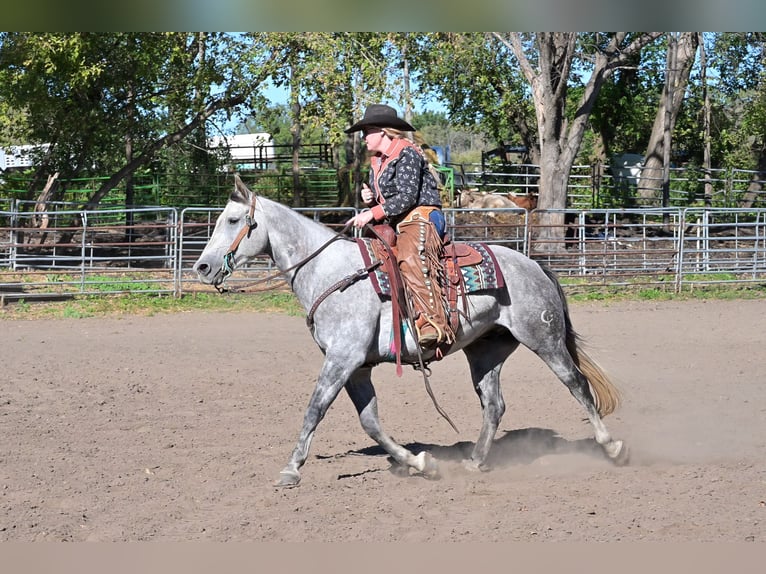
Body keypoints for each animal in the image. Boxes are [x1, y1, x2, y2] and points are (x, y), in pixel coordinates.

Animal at [193, 175, 629, 487]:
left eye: (233, 220)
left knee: (577, 385)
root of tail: (535, 264)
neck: (330, 272)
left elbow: (315, 409)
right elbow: (370, 422)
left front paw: (291, 469)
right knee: (494, 404)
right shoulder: (357, 367)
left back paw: (613, 448)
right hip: (486, 350)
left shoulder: (342, 358)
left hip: (544, 337)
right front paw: (420, 462)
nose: (202, 267)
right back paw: (475, 462)